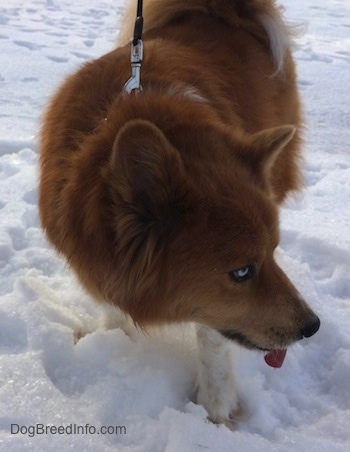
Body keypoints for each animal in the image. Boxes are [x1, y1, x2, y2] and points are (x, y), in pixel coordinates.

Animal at [39, 0, 320, 428]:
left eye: (271, 252)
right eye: (242, 272)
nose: (312, 327)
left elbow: (212, 334)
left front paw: (216, 405)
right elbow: (114, 306)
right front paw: (114, 340)